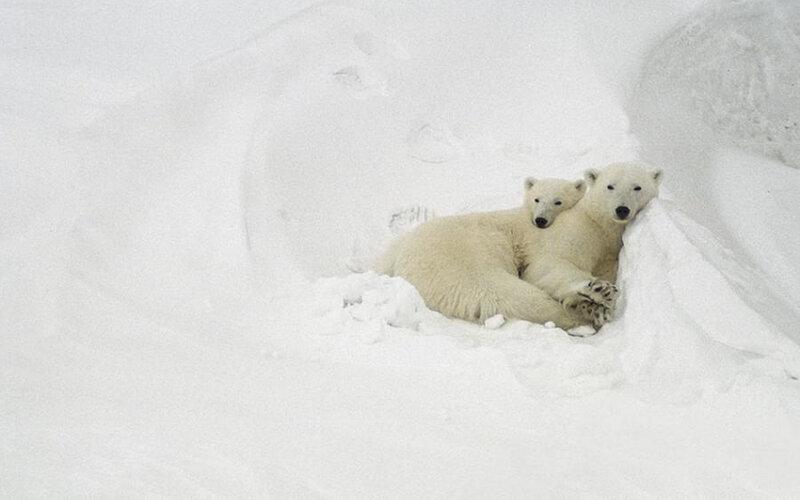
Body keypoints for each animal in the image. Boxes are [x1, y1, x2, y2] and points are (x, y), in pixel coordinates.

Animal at [377, 177, 586, 327]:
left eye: (558, 201)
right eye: (537, 199)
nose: (540, 220)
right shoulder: (530, 241)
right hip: (463, 267)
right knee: (513, 294)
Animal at [519, 162, 663, 329]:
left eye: (637, 187)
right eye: (610, 186)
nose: (622, 209)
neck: (603, 227)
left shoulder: (611, 253)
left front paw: (593, 307)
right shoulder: (578, 231)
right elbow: (551, 262)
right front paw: (600, 290)